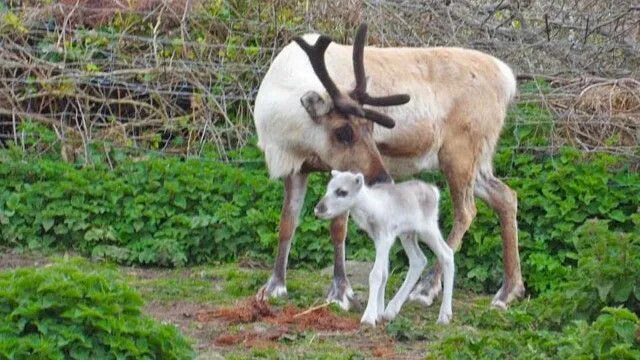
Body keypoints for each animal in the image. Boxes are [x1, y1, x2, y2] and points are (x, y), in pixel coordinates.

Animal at [316, 170, 456, 324]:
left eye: (342, 192)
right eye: (328, 188)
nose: (318, 209)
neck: (371, 208)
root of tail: (434, 192)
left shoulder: (385, 238)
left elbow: (376, 274)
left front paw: (368, 318)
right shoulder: (379, 240)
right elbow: (384, 273)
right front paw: (378, 314)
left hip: (428, 229)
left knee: (446, 254)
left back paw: (444, 316)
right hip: (407, 234)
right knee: (419, 260)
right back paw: (391, 310)